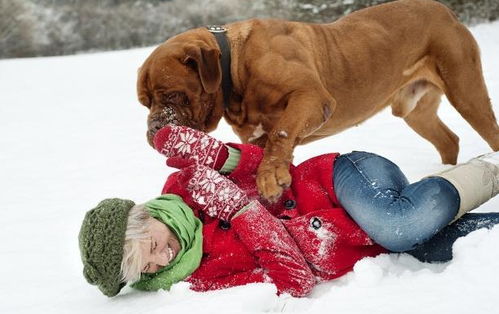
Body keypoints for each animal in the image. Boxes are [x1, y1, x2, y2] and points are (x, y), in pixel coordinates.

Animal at [137, 0, 499, 201]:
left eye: (173, 95)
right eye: (145, 103)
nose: (153, 128)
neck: (234, 68)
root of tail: (447, 11)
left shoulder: (310, 97)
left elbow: (280, 133)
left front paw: (269, 177)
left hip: (466, 91)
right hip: (415, 112)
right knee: (448, 140)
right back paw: (445, 172)